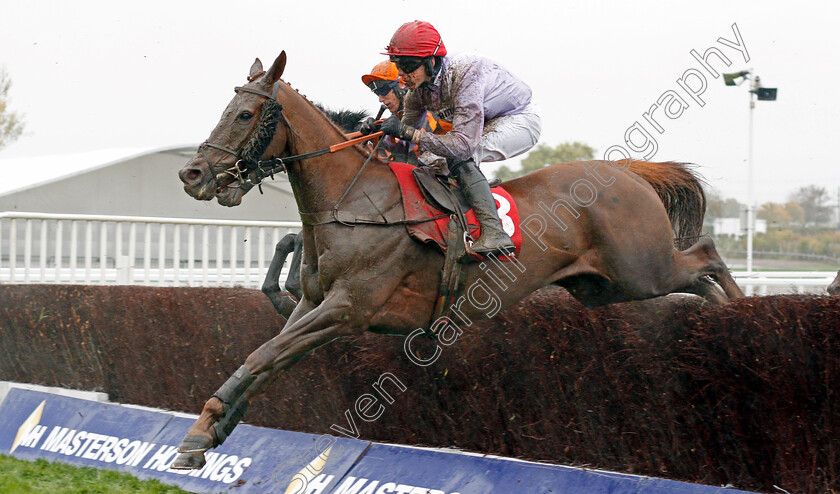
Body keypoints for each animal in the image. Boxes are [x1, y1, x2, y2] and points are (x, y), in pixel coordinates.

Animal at [172, 52, 740, 468]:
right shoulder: (314, 305)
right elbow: (268, 355)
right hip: (603, 288)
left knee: (707, 256)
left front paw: (201, 431)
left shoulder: (348, 310)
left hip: (641, 269)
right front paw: (211, 429)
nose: (192, 175)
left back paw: (738, 314)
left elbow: (263, 356)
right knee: (696, 278)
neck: (355, 204)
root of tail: (629, 172)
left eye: (245, 114)